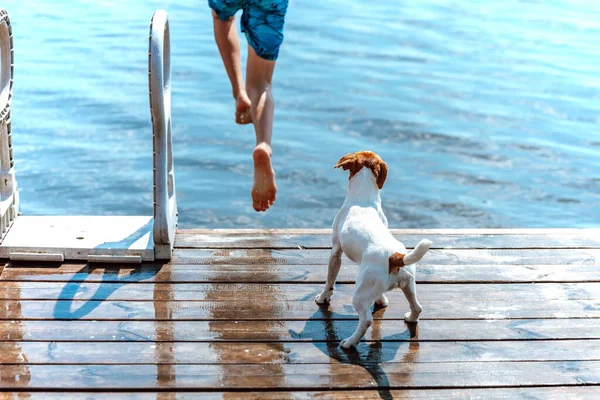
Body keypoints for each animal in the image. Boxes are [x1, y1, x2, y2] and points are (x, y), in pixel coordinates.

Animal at [314, 152, 432, 348]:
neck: (363, 201)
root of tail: (395, 256)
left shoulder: (335, 251)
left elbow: (330, 279)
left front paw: (323, 297)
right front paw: (381, 300)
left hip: (360, 295)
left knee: (366, 321)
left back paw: (349, 342)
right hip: (409, 284)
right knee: (417, 307)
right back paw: (410, 318)